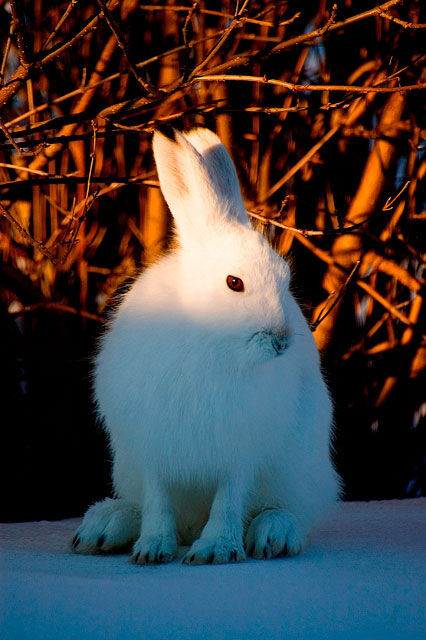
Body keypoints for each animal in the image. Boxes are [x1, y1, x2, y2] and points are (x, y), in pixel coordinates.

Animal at [72, 126, 340, 565]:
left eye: (284, 279)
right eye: (234, 283)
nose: (281, 340)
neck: (208, 339)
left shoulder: (241, 450)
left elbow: (228, 500)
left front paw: (215, 548)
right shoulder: (153, 446)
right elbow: (158, 502)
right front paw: (152, 549)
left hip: (298, 469)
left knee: (286, 509)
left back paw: (274, 534)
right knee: (143, 507)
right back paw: (104, 527)